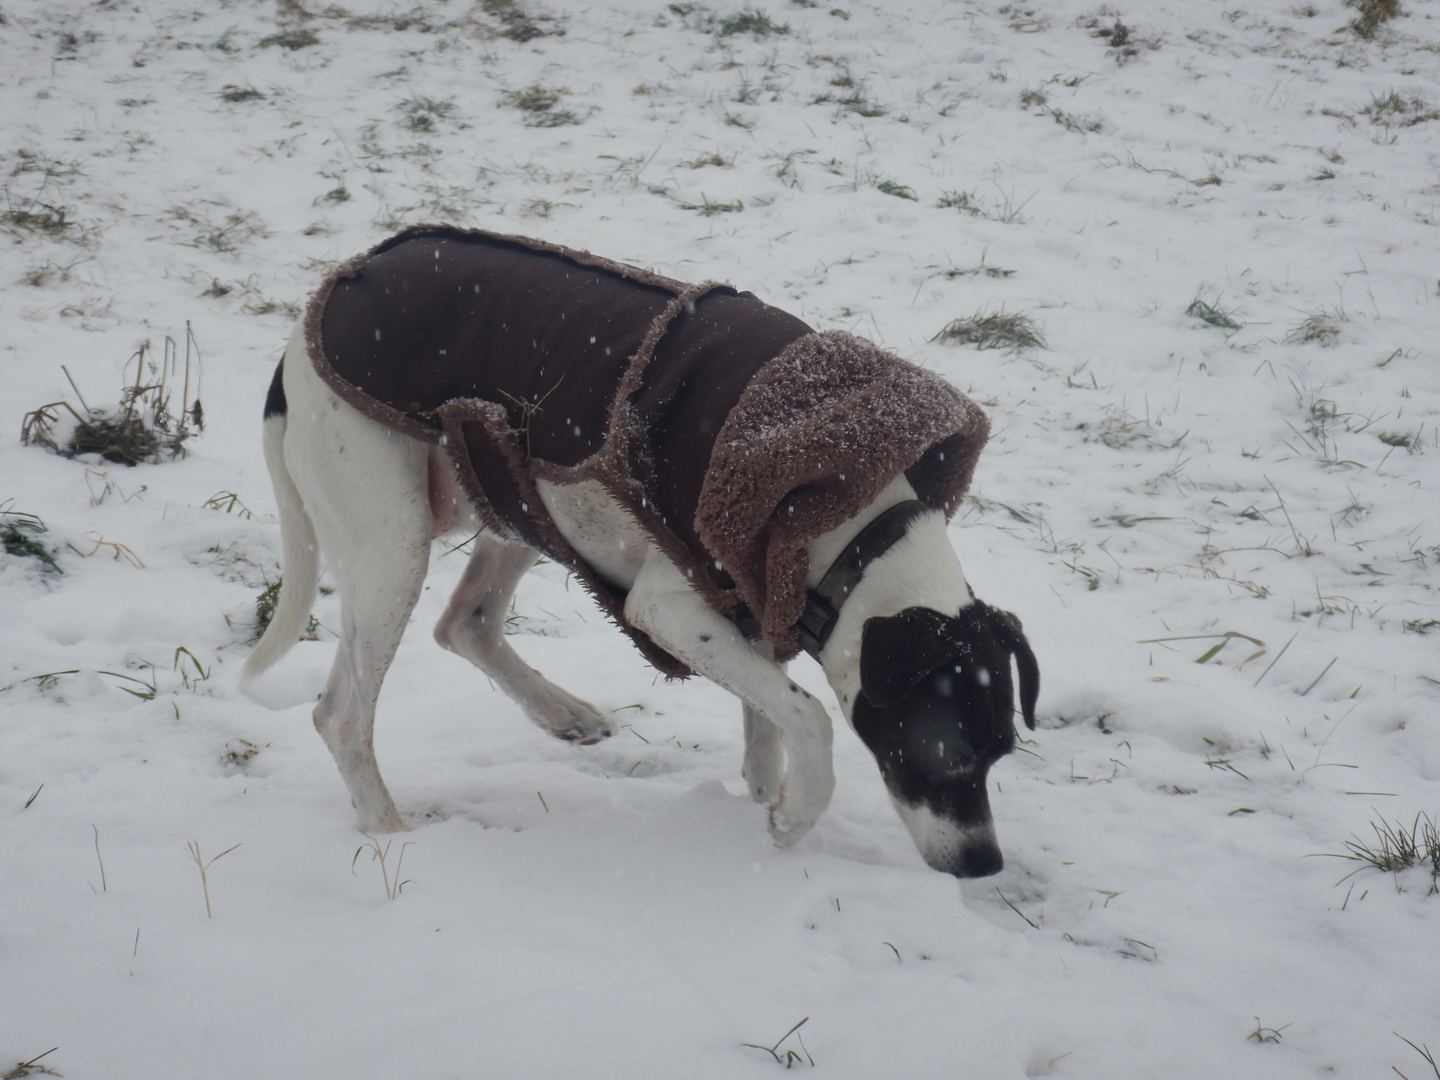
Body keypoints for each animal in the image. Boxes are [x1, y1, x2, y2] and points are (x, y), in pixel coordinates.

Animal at [241, 228, 1042, 881]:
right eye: (946, 755)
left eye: (1002, 752)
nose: (985, 864)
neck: (849, 517)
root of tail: (300, 337)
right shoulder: (670, 606)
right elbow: (807, 712)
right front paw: (798, 812)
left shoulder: (748, 592)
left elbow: (771, 710)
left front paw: (764, 792)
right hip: (393, 539)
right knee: (342, 715)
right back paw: (390, 831)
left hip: (508, 487)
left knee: (464, 622)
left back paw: (560, 711)